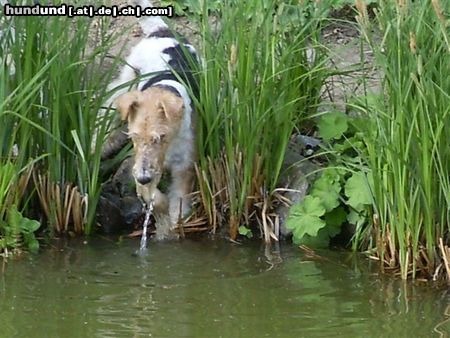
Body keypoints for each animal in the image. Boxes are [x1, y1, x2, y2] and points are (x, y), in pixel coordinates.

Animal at [102, 0, 200, 236]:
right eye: (134, 137)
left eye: (160, 137)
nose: (144, 177)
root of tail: (162, 29)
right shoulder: (143, 171)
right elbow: (157, 199)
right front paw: (163, 223)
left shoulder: (184, 168)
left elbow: (177, 205)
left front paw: (169, 229)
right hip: (125, 82)